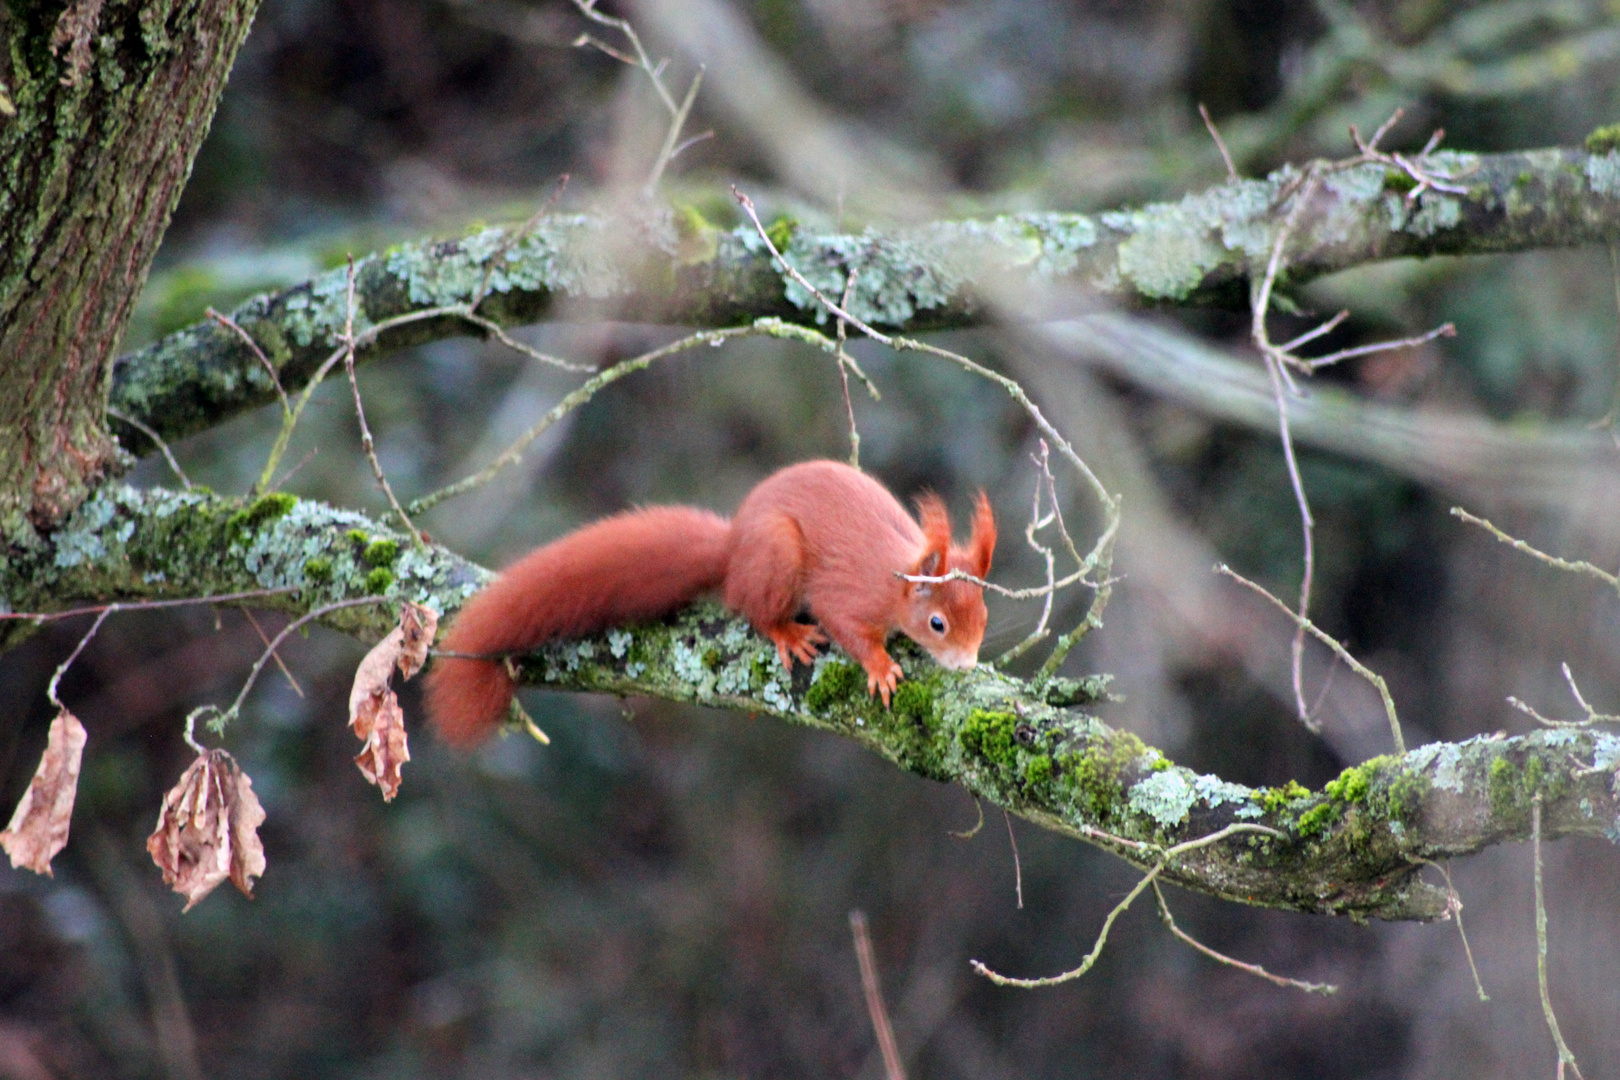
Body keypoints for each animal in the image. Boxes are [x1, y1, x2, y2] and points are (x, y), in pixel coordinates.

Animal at [424, 459, 991, 748]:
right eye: (937, 623)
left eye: (984, 618)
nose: (967, 664)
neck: (895, 584)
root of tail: (733, 547)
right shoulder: (849, 595)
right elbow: (848, 627)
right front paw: (880, 666)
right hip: (777, 556)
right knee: (754, 608)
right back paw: (787, 632)